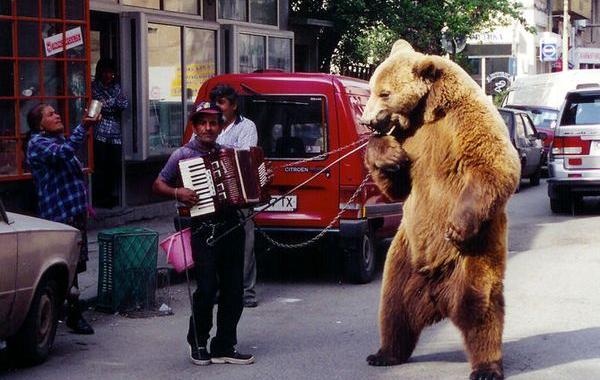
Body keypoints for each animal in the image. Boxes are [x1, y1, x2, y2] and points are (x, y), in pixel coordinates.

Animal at [360, 39, 520, 380]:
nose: (367, 120)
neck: (426, 112)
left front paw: (456, 227)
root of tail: (437, 297)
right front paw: (388, 155)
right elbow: (398, 186)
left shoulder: (464, 119)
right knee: (393, 307)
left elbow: (495, 165)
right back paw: (384, 353)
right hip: (403, 255)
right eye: (371, 88)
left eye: (385, 93)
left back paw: (486, 366)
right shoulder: (410, 138)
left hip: (478, 250)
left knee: (481, 308)